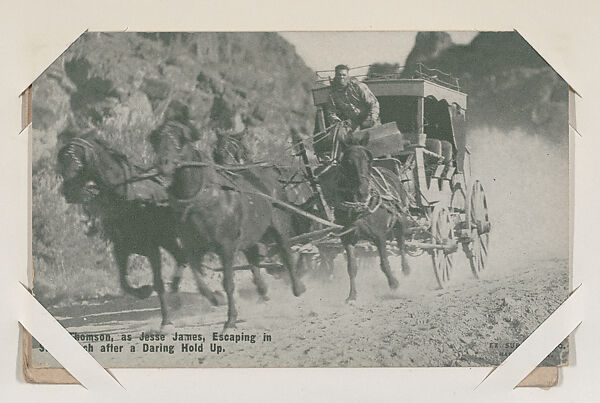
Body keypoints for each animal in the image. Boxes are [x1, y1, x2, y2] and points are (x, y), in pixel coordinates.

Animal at [57, 134, 213, 330]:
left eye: (77, 163)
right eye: (61, 166)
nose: (67, 193)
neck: (126, 200)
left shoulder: (152, 248)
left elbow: (158, 283)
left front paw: (165, 320)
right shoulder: (120, 248)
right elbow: (124, 282)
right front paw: (144, 291)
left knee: (191, 259)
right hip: (168, 239)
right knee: (183, 258)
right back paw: (178, 297)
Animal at [152, 124, 308, 330]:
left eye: (180, 140)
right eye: (156, 140)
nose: (163, 163)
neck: (204, 198)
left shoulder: (226, 247)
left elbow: (228, 283)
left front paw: (231, 319)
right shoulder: (193, 248)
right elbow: (199, 281)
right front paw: (216, 299)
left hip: (278, 225)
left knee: (285, 252)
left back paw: (298, 287)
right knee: (254, 258)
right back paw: (263, 290)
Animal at [326, 144, 410, 302]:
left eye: (367, 160)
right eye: (348, 161)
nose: (363, 190)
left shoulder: (380, 236)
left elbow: (384, 262)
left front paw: (393, 283)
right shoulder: (347, 238)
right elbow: (352, 267)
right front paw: (352, 296)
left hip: (401, 218)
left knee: (401, 242)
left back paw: (406, 269)